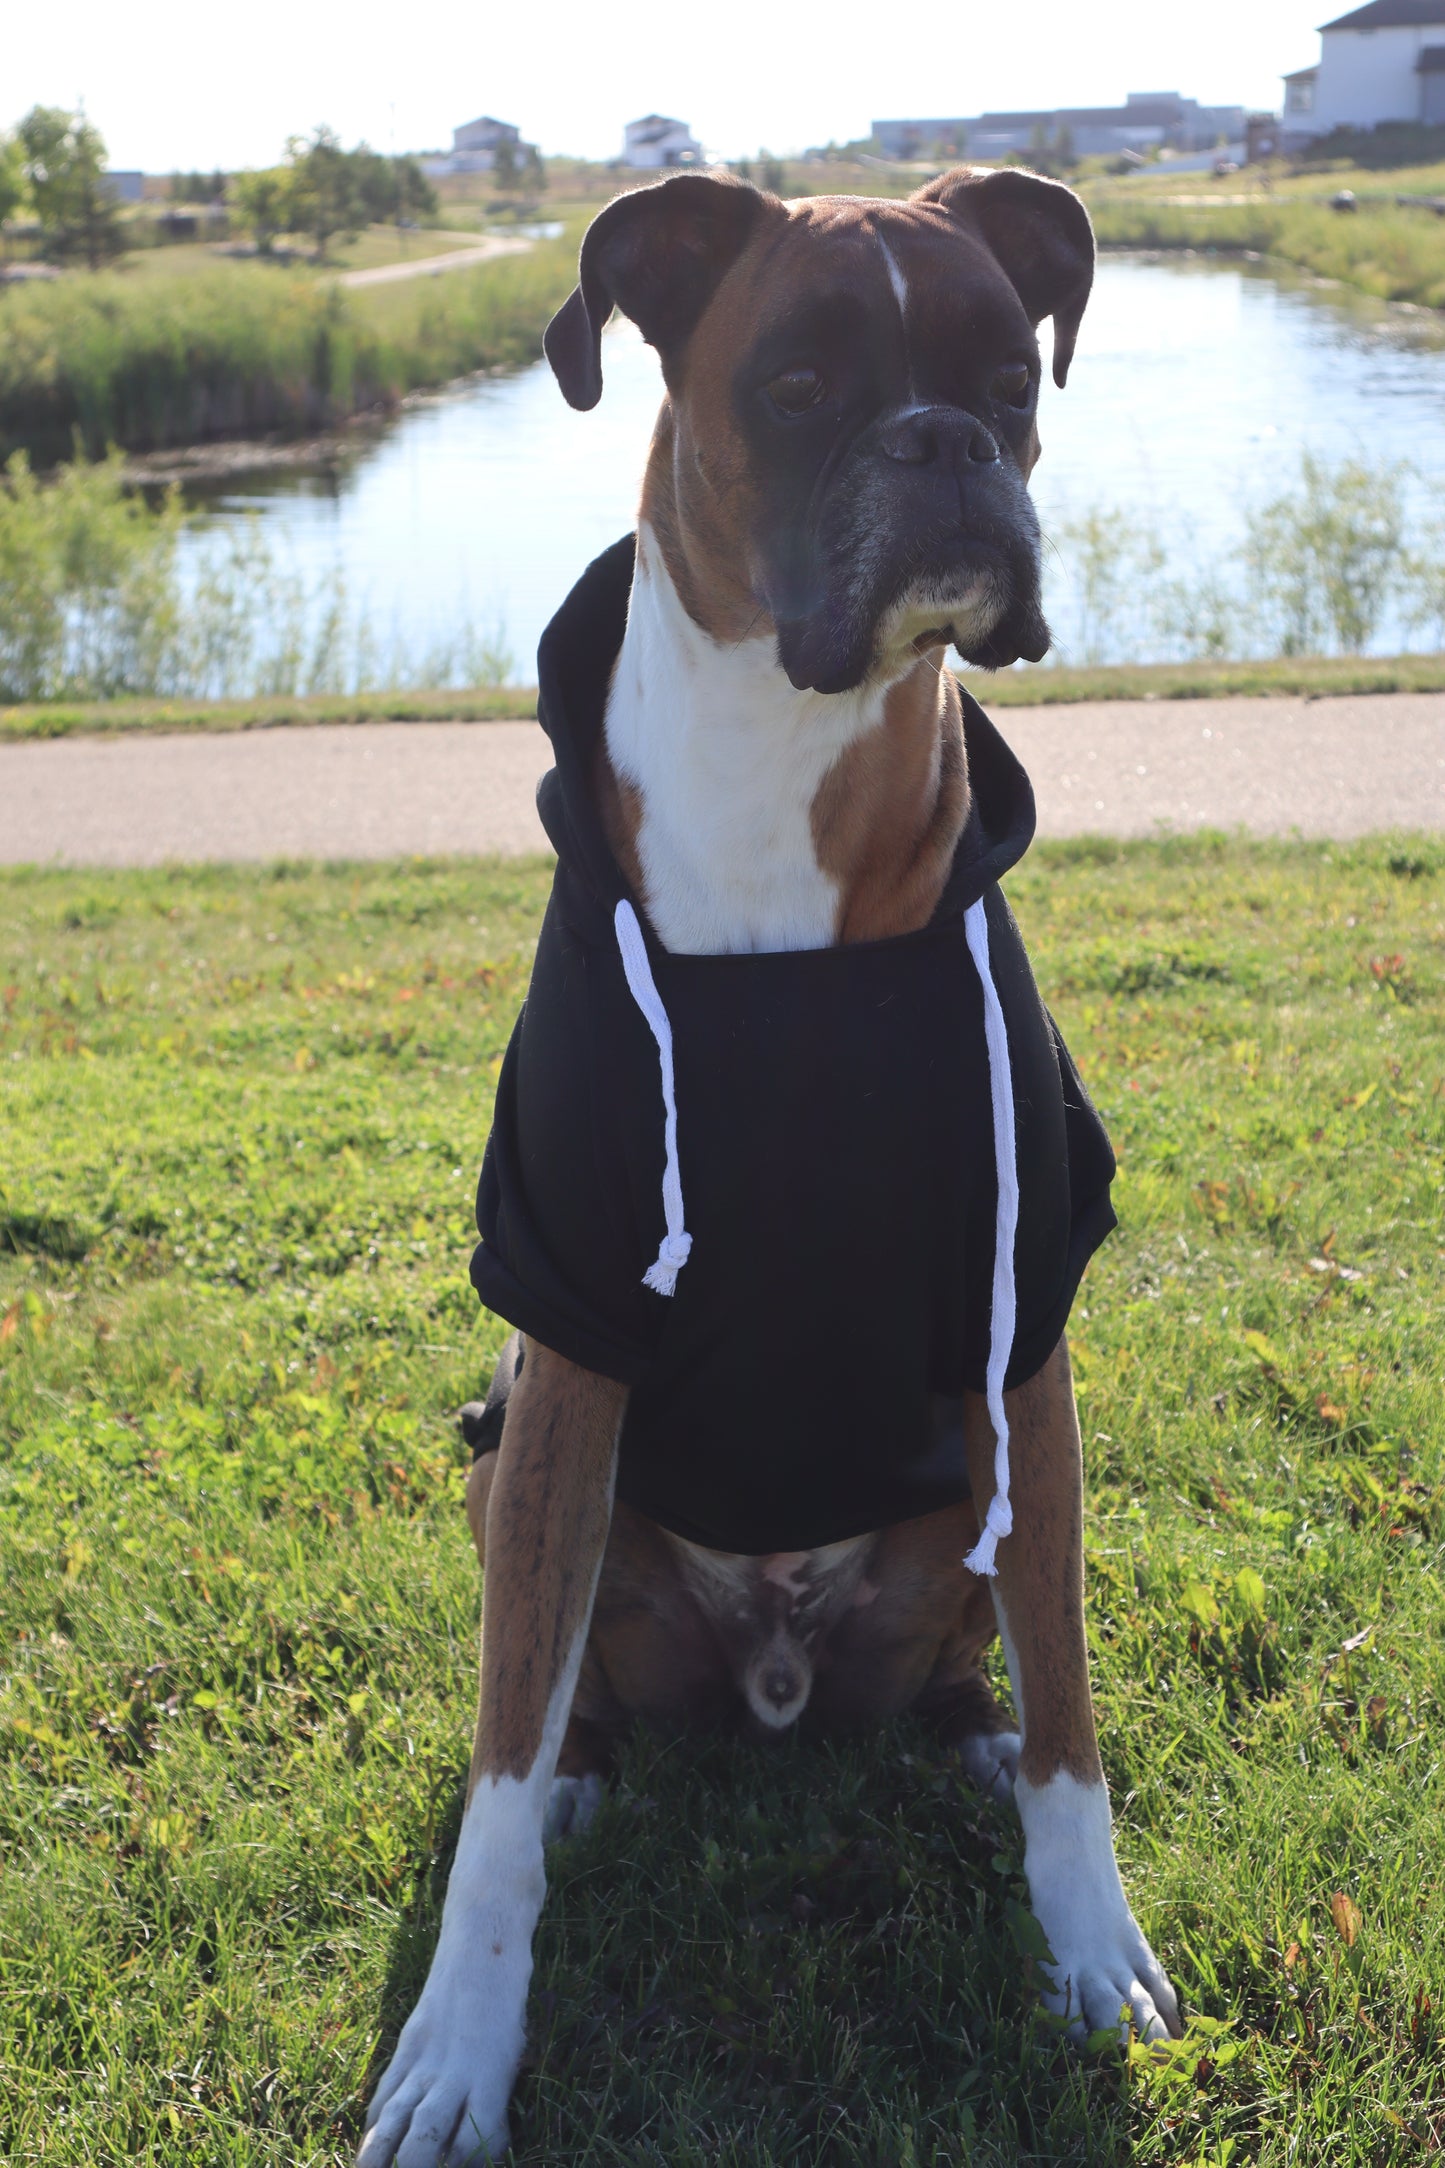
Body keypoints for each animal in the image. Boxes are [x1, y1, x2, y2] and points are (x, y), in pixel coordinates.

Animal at [359, 169, 1178, 2168]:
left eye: (1008, 375)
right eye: (801, 384)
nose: (951, 441)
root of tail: (782, 1671)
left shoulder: (1025, 1324)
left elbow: (1071, 1707)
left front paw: (1088, 1942)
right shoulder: (565, 1327)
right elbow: (497, 1772)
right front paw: (458, 2045)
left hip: (971, 1497)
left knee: (992, 1660)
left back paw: (964, 1735)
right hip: (508, 1452)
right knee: (555, 1687)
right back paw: (595, 1765)